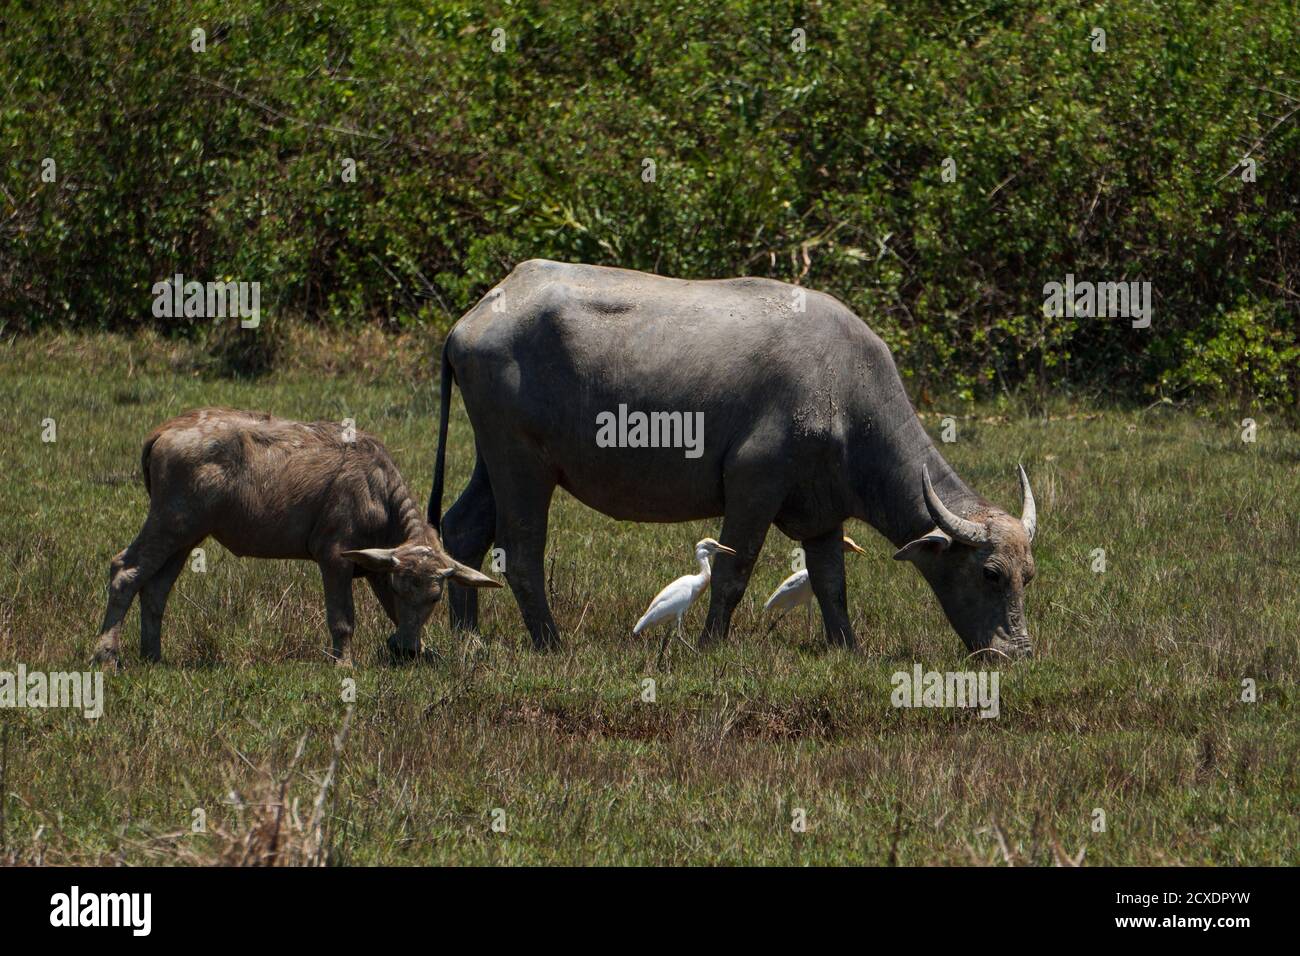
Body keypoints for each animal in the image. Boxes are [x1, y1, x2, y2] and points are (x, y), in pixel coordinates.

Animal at [91, 408, 496, 671]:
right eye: (402, 588)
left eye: (435, 597)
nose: (406, 650)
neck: (376, 492)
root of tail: (166, 430)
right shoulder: (335, 557)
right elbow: (342, 619)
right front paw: (344, 664)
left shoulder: (379, 566)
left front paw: (421, 648)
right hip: (170, 521)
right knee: (125, 570)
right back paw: (107, 655)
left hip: (187, 534)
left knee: (156, 587)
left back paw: (153, 656)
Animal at [431, 260, 1040, 658]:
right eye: (989, 574)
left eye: (1027, 577)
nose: (1017, 653)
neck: (845, 391)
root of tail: (473, 316)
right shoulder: (754, 484)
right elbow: (733, 570)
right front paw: (710, 644)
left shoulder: (822, 511)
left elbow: (831, 582)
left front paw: (847, 647)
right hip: (522, 464)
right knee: (521, 549)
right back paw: (550, 643)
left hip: (494, 460)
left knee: (462, 530)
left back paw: (468, 637)